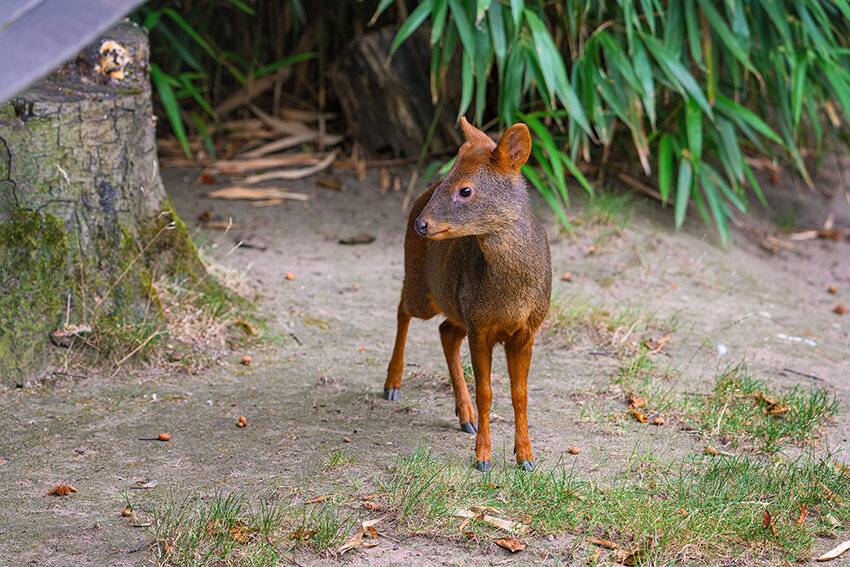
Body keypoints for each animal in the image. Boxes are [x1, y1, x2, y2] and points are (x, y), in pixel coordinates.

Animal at [383, 117, 552, 472]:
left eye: (465, 190)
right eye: (448, 178)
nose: (422, 224)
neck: (511, 294)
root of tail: (419, 198)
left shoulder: (527, 329)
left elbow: (520, 394)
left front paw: (526, 457)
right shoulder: (480, 326)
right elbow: (486, 392)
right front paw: (483, 458)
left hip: (456, 305)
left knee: (445, 331)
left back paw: (465, 416)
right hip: (424, 289)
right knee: (402, 308)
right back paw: (392, 384)